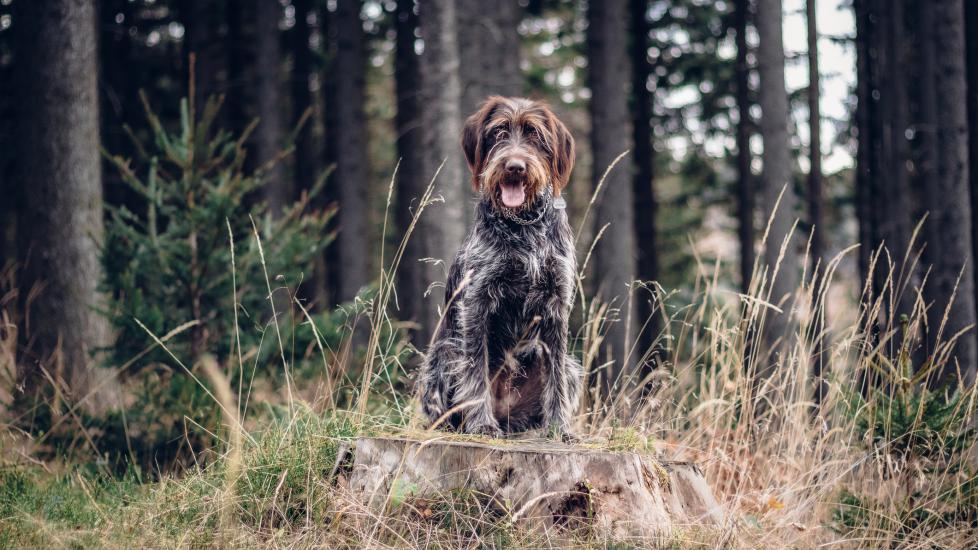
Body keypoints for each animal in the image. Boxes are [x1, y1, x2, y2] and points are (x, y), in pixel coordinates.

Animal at [418, 97, 580, 442]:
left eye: (534, 134)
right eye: (499, 132)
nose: (515, 167)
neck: (523, 225)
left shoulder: (556, 304)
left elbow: (556, 378)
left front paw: (560, 427)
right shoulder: (476, 302)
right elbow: (476, 371)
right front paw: (481, 424)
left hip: (570, 367)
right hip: (445, 354)